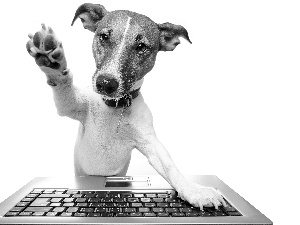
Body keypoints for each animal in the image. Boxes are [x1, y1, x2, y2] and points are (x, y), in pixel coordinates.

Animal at [26, 2, 225, 210]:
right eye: (104, 36)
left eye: (141, 46)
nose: (106, 83)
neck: (115, 108)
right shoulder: (73, 106)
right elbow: (65, 87)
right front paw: (52, 62)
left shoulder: (149, 142)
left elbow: (169, 166)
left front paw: (194, 190)